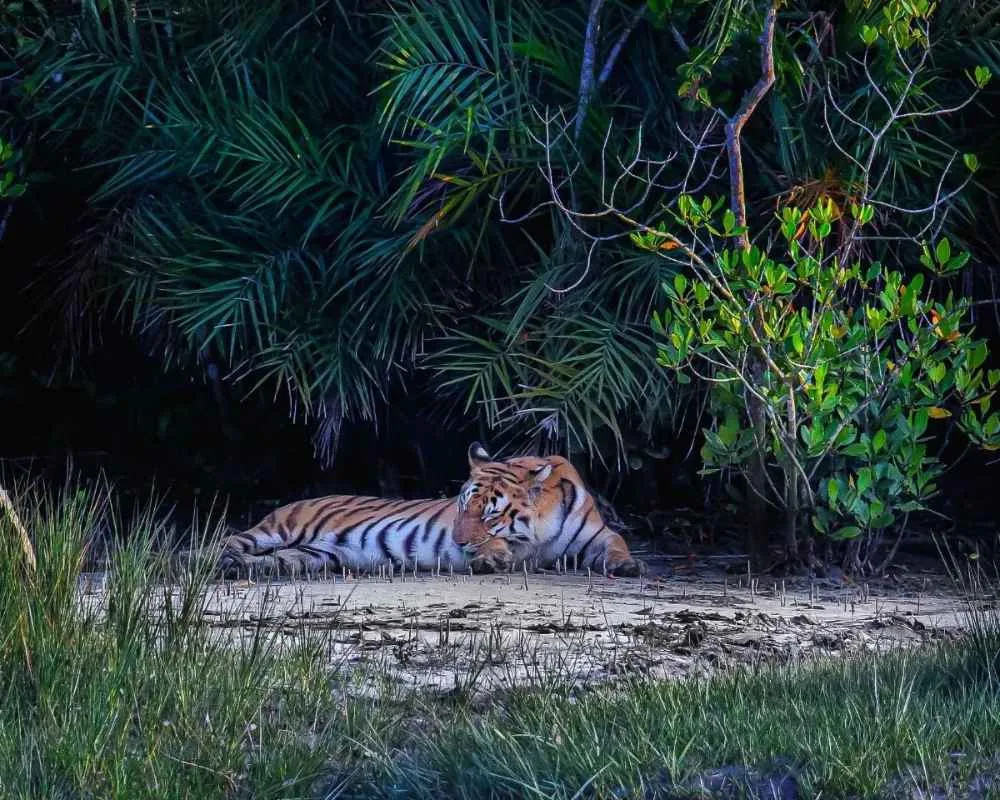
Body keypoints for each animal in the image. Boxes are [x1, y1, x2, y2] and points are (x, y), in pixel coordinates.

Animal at [455, 443, 645, 577]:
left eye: (491, 517)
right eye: (462, 507)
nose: (458, 543)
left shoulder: (599, 534)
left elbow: (617, 541)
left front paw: (626, 564)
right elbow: (493, 541)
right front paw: (489, 559)